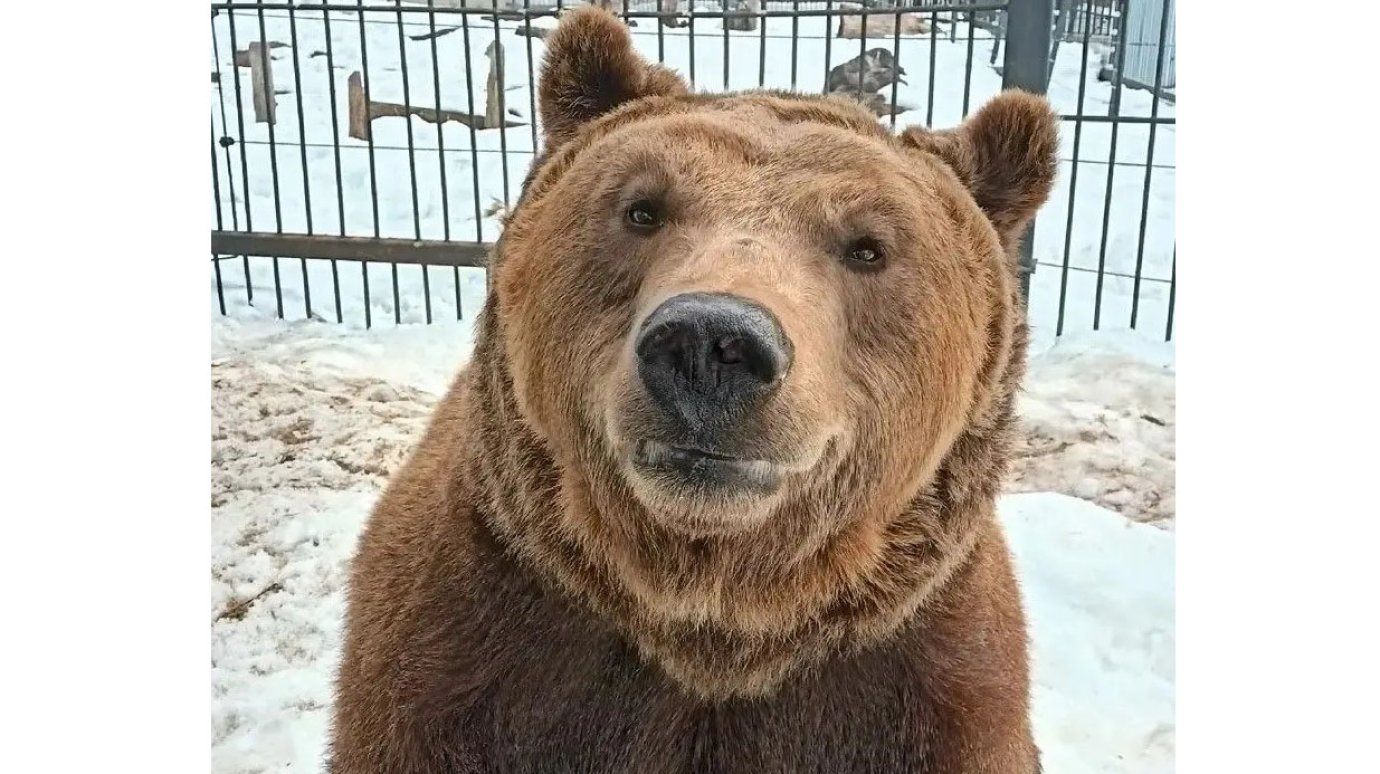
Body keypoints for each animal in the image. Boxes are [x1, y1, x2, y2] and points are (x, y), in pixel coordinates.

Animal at [328, 7, 1058, 773]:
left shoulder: (926, 695)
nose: (711, 344)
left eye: (868, 246)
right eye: (642, 209)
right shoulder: (459, 668)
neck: (711, 618)